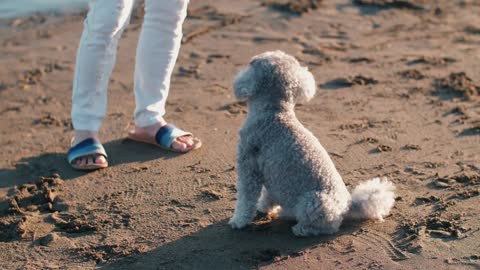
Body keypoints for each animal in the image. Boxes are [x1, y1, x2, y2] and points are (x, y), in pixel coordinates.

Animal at [228, 50, 394, 236]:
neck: (275, 111)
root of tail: (348, 207)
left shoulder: (248, 166)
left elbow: (245, 199)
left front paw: (238, 221)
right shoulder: (267, 172)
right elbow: (267, 195)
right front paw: (264, 208)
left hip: (313, 202)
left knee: (324, 226)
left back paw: (301, 228)